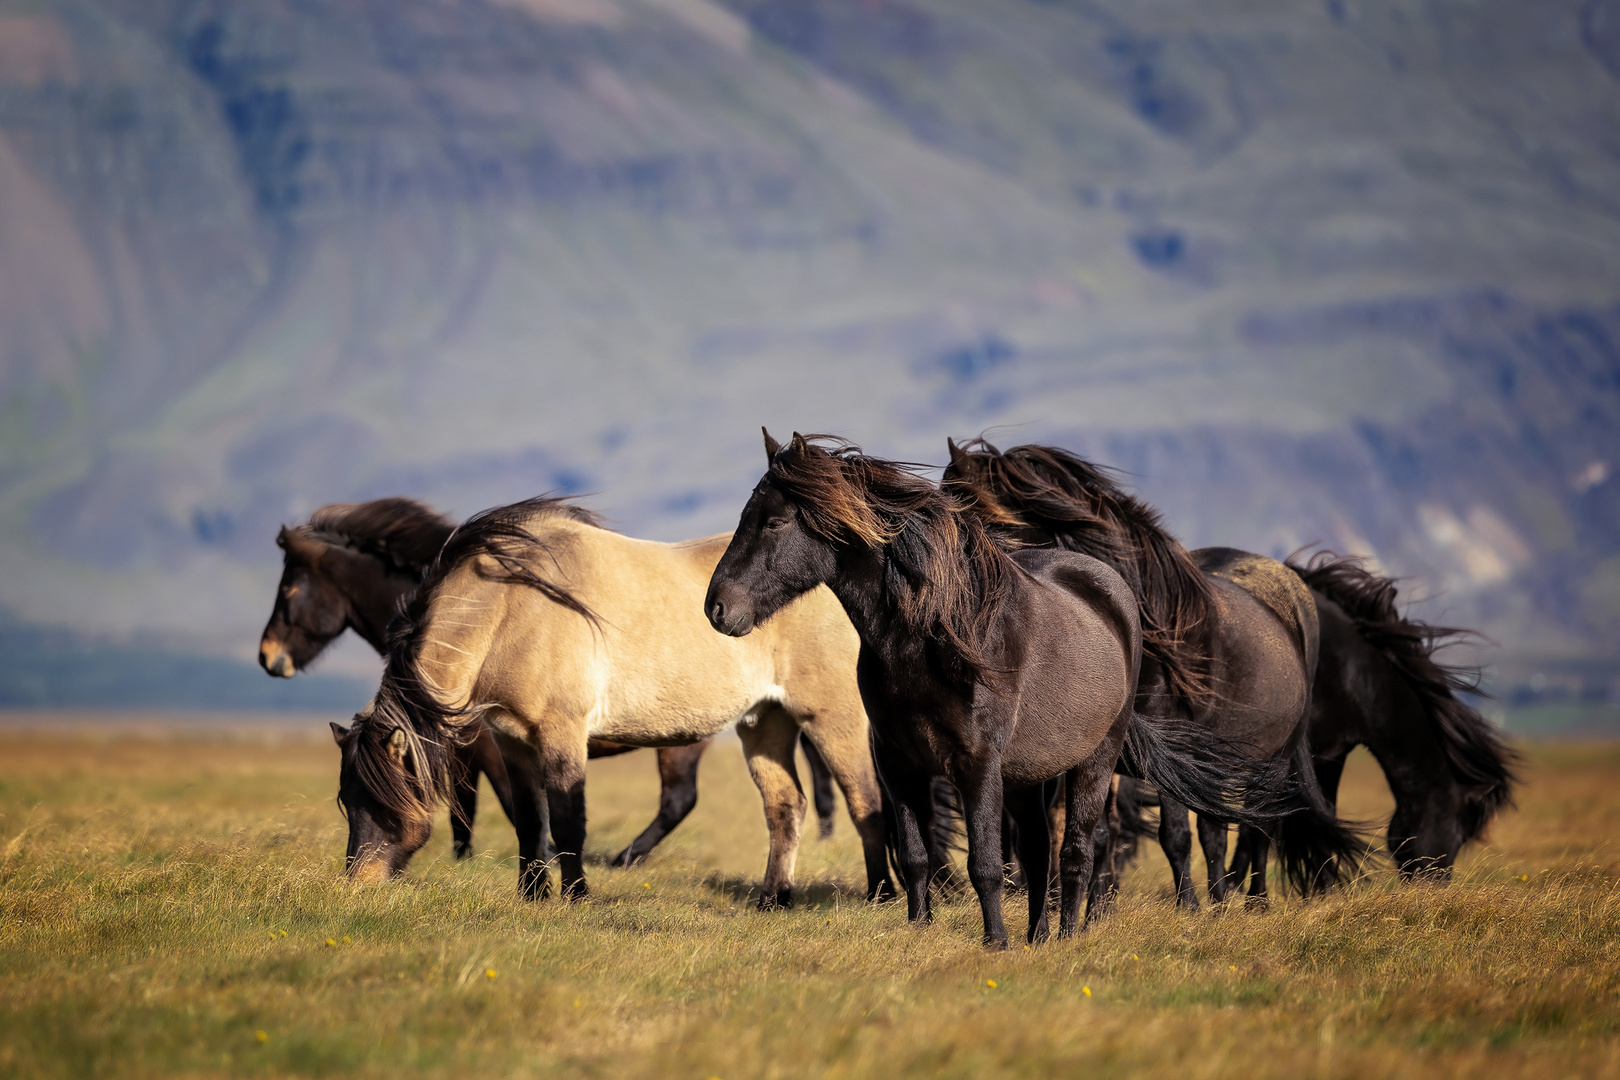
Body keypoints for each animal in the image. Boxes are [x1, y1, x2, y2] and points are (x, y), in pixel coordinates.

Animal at [325, 495, 887, 906]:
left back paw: (880, 894)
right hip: (764, 722)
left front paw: (575, 896)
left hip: (830, 718)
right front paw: (532, 896)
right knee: (785, 807)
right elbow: (531, 821)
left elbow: (567, 818)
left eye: (380, 799)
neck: (511, 609)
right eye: (346, 800)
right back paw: (774, 899)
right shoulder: (512, 743)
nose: (357, 885)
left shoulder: (562, 733)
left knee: (865, 801)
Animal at [709, 430, 1302, 945]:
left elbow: (987, 862)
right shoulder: (899, 764)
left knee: (1078, 850)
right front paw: (919, 930)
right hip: (1026, 776)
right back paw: (1038, 936)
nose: (717, 608)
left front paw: (995, 942)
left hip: (1094, 762)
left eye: (774, 522)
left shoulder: (977, 764)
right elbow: (919, 854)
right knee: (1040, 851)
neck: (932, 637)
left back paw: (1068, 935)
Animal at [939, 440, 1367, 906]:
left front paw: (1189, 907)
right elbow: (1101, 832)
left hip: (1274, 756)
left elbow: (1175, 832)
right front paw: (1097, 910)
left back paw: (1251, 901)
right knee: (1220, 826)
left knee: (1257, 827)